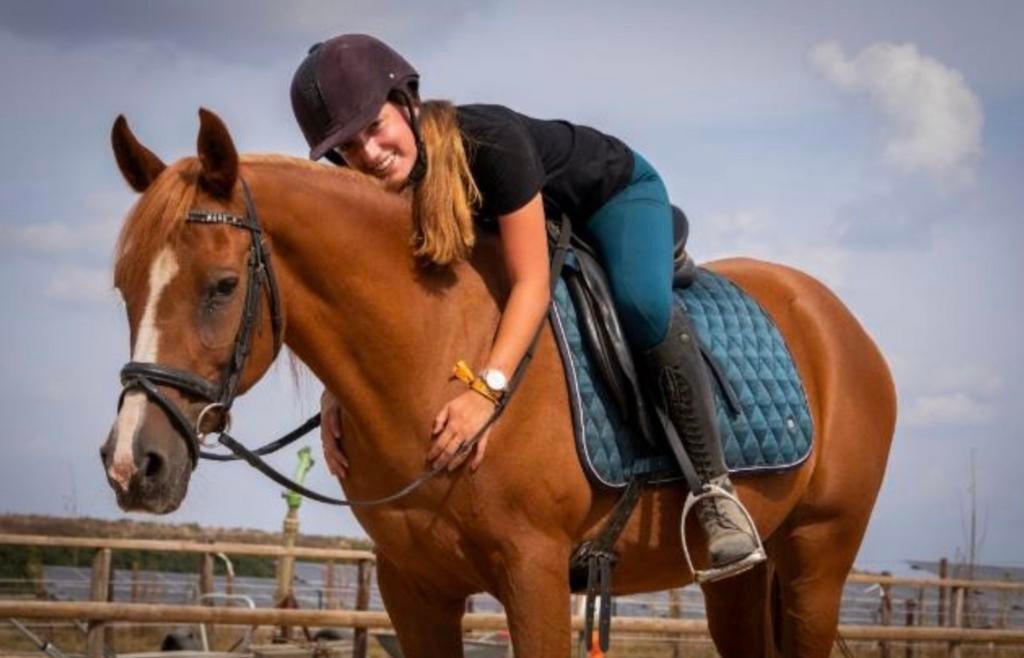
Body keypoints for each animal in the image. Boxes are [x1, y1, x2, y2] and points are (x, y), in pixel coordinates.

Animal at [100, 109, 896, 657]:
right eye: (124, 287)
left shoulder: (533, 575)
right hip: (739, 581)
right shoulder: (414, 587)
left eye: (223, 285)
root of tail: (837, 321)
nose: (132, 464)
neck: (430, 352)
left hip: (816, 561)